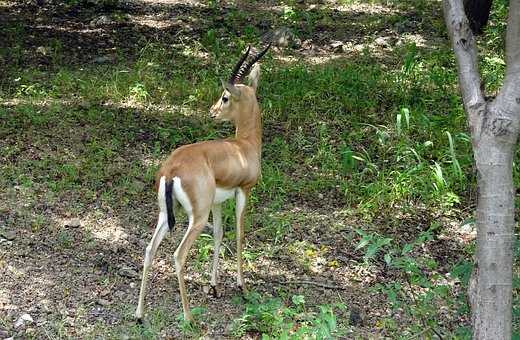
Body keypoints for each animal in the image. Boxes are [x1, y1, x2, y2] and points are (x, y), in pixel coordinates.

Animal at [134, 44, 272, 322]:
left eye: (225, 97)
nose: (212, 111)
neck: (244, 147)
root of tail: (171, 168)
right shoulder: (243, 192)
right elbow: (239, 233)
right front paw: (242, 286)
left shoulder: (218, 202)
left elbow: (219, 234)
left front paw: (214, 286)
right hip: (196, 217)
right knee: (178, 255)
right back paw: (188, 317)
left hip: (167, 213)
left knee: (150, 249)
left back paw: (140, 314)